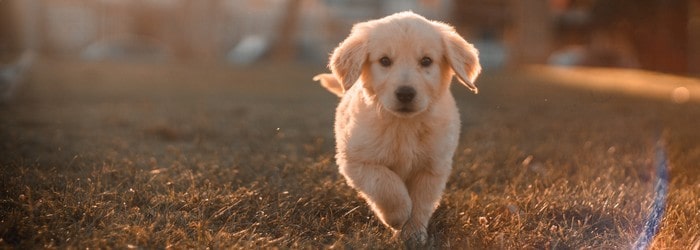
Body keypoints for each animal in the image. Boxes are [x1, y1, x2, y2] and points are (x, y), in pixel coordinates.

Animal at [314, 11, 482, 244]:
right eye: (385, 61)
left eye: (426, 61)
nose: (405, 93)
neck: (404, 125)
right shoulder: (356, 160)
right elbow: (386, 184)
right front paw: (397, 216)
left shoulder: (432, 167)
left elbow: (421, 203)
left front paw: (413, 235)